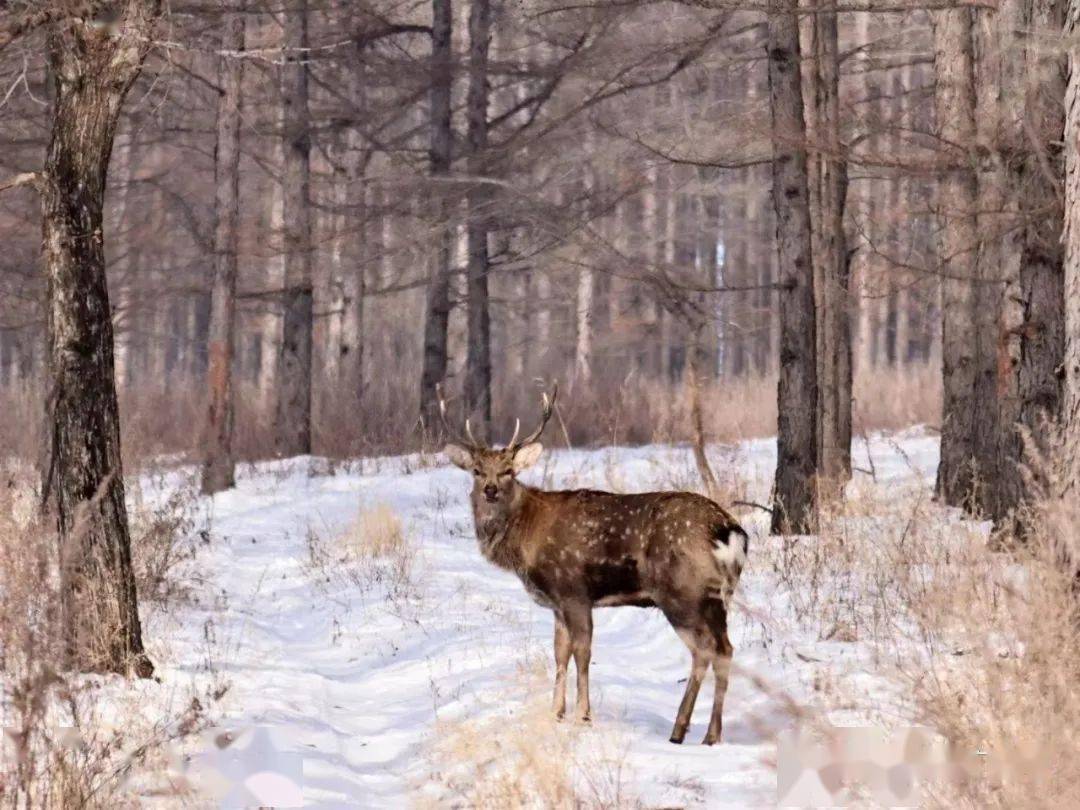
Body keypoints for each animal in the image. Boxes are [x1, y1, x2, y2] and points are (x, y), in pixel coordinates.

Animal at [442, 386, 747, 747]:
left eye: (508, 471)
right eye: (476, 470)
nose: (490, 490)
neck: (525, 540)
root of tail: (729, 531)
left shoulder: (574, 590)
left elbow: (582, 653)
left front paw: (583, 716)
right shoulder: (557, 603)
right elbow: (560, 653)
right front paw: (556, 712)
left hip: (681, 593)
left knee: (704, 650)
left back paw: (682, 731)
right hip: (718, 599)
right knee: (725, 649)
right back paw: (709, 734)